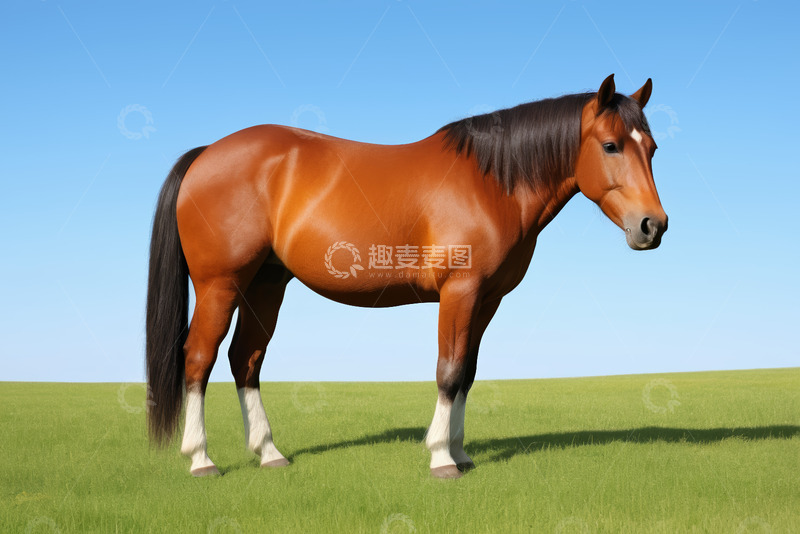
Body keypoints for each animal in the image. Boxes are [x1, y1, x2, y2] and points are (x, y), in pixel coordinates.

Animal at [146, 74, 667, 478]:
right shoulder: (460, 292)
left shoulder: (487, 300)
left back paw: (269, 453)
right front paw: (441, 459)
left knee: (246, 360)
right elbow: (448, 370)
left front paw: (461, 452)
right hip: (220, 284)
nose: (652, 226)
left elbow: (468, 373)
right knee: (199, 359)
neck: (490, 182)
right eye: (610, 145)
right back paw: (201, 459)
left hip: (266, 284)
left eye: (653, 148)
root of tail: (207, 153)